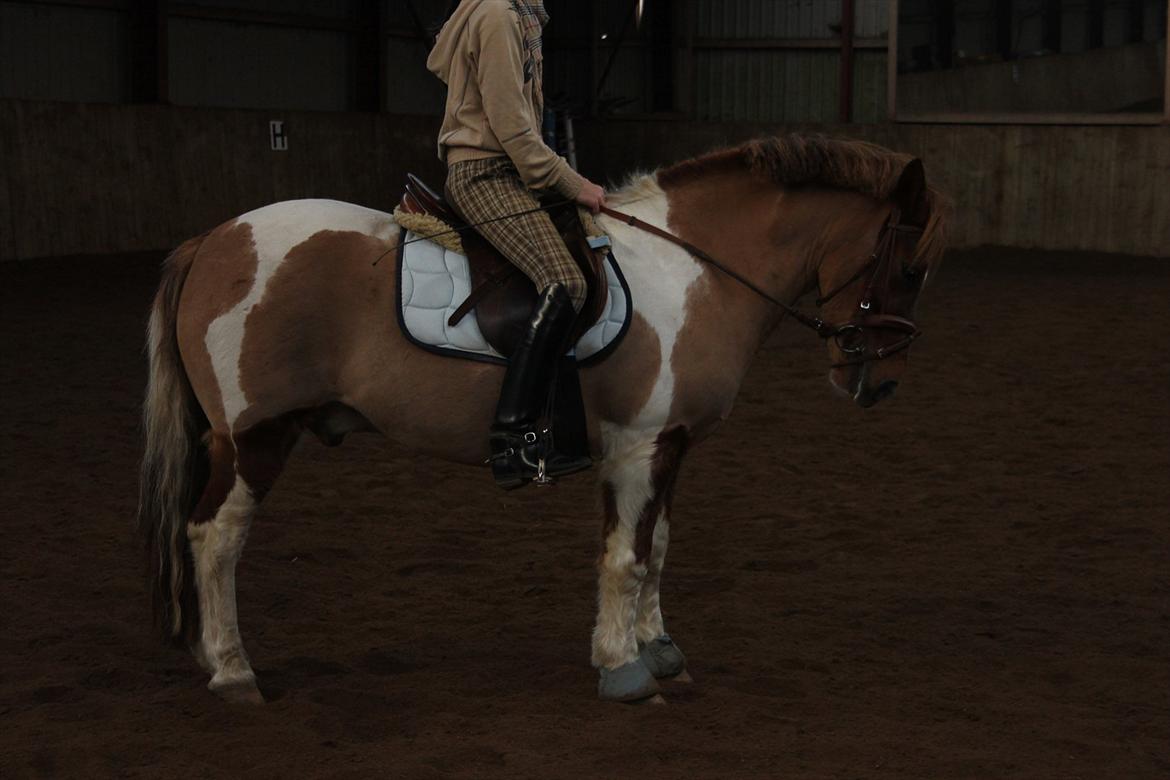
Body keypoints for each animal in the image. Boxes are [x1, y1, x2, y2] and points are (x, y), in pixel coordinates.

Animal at [137, 134, 948, 704]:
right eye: (910, 270)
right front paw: (623, 670)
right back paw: (234, 671)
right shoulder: (639, 447)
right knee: (214, 540)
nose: (878, 383)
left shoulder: (670, 446)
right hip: (254, 440)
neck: (692, 271)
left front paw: (659, 651)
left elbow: (656, 549)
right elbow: (624, 558)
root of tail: (211, 241)